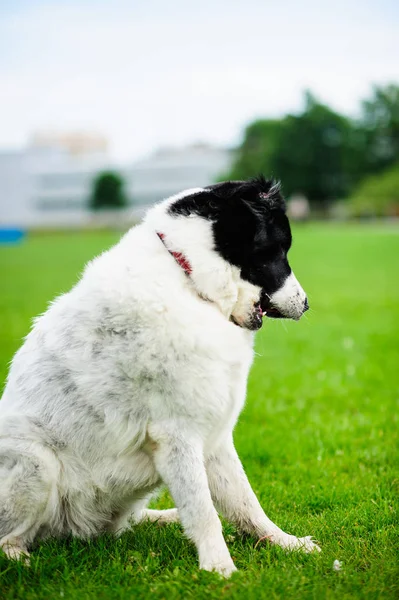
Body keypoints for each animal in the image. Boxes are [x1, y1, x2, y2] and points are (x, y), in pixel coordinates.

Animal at [0, 177, 318, 576]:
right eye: (278, 250)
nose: (307, 304)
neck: (189, 281)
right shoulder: (177, 434)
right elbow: (203, 511)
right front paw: (220, 571)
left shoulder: (215, 436)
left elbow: (245, 502)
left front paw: (286, 544)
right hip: (36, 462)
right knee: (7, 538)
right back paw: (22, 560)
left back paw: (163, 518)